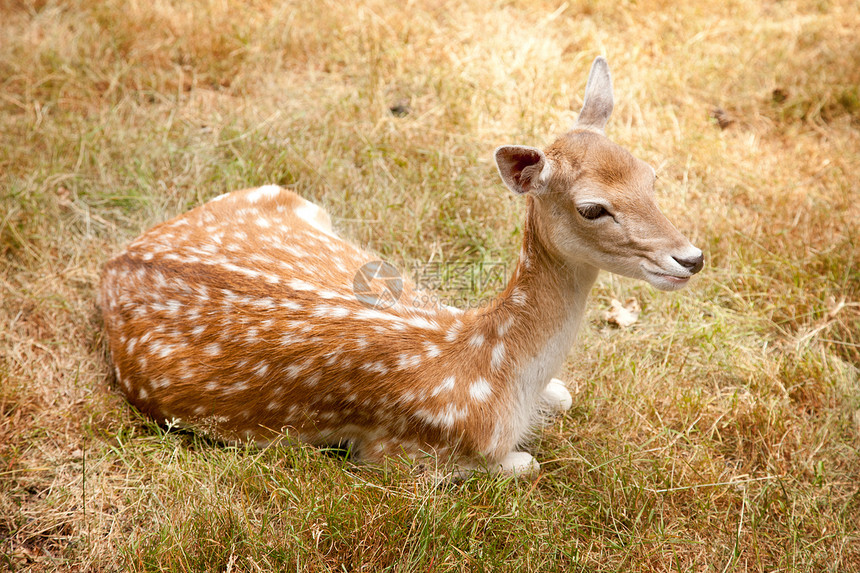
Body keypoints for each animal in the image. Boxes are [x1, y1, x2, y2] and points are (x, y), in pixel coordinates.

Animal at [102, 57, 704, 478]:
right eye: (592, 208)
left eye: (650, 174)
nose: (691, 258)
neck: (495, 375)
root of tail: (116, 261)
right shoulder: (399, 453)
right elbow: (525, 462)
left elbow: (566, 394)